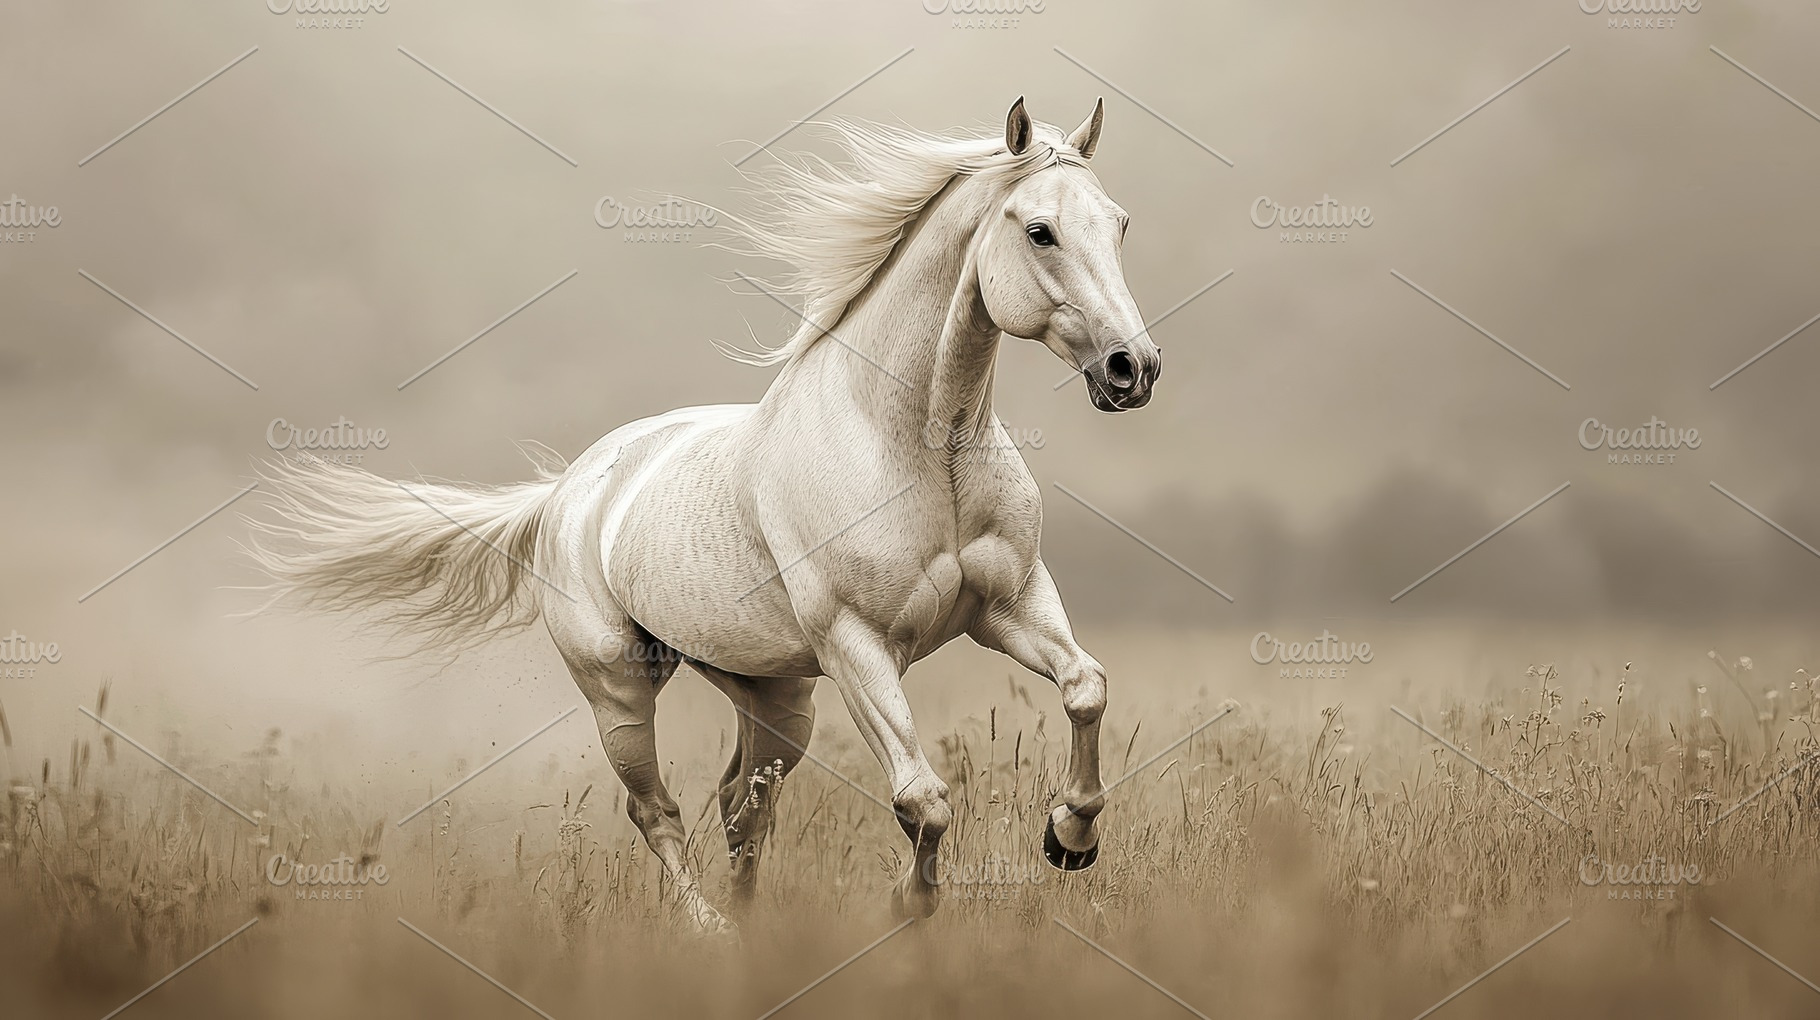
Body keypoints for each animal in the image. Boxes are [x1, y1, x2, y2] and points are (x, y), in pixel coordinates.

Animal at [248, 96, 1162, 933]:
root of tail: (565, 494)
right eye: (1040, 231)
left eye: (1119, 225)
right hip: (620, 688)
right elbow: (923, 798)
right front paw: (911, 904)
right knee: (659, 810)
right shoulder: (857, 645)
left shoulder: (1009, 605)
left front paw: (1069, 836)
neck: (918, 448)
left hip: (774, 695)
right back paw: (711, 933)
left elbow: (1086, 688)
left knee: (740, 803)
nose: (1133, 368)